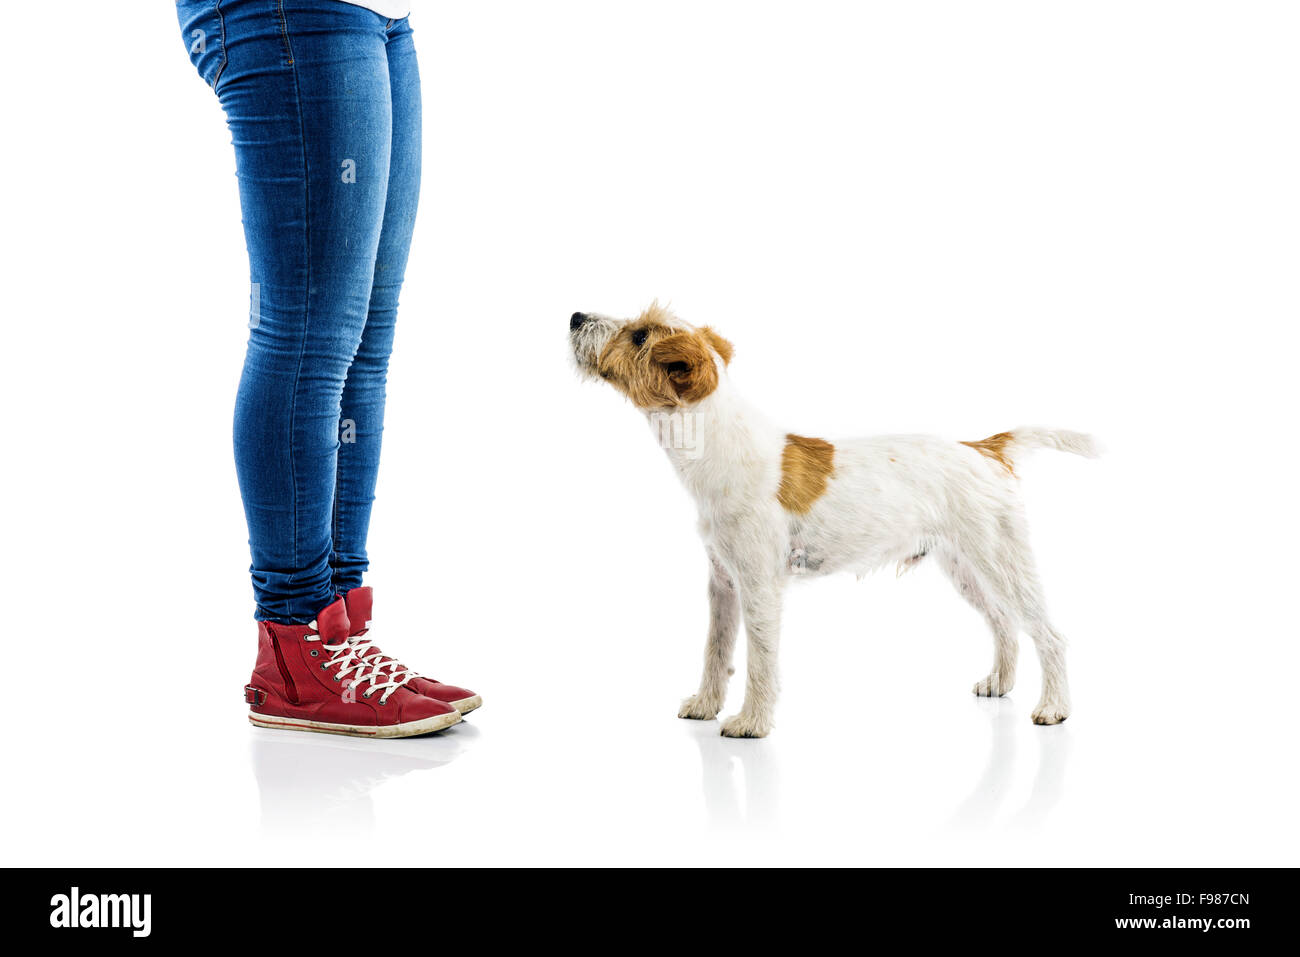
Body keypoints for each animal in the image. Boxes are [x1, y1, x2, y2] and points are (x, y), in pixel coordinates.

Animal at [569, 302, 1097, 738]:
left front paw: (751, 722)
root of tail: (985, 448)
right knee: (1005, 625)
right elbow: (715, 652)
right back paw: (999, 683)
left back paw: (1054, 708)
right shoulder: (722, 583)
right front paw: (704, 705)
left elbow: (760, 659)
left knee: (1049, 635)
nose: (575, 317)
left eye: (639, 335)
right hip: (967, 569)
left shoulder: (759, 586)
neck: (719, 445)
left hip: (1002, 561)